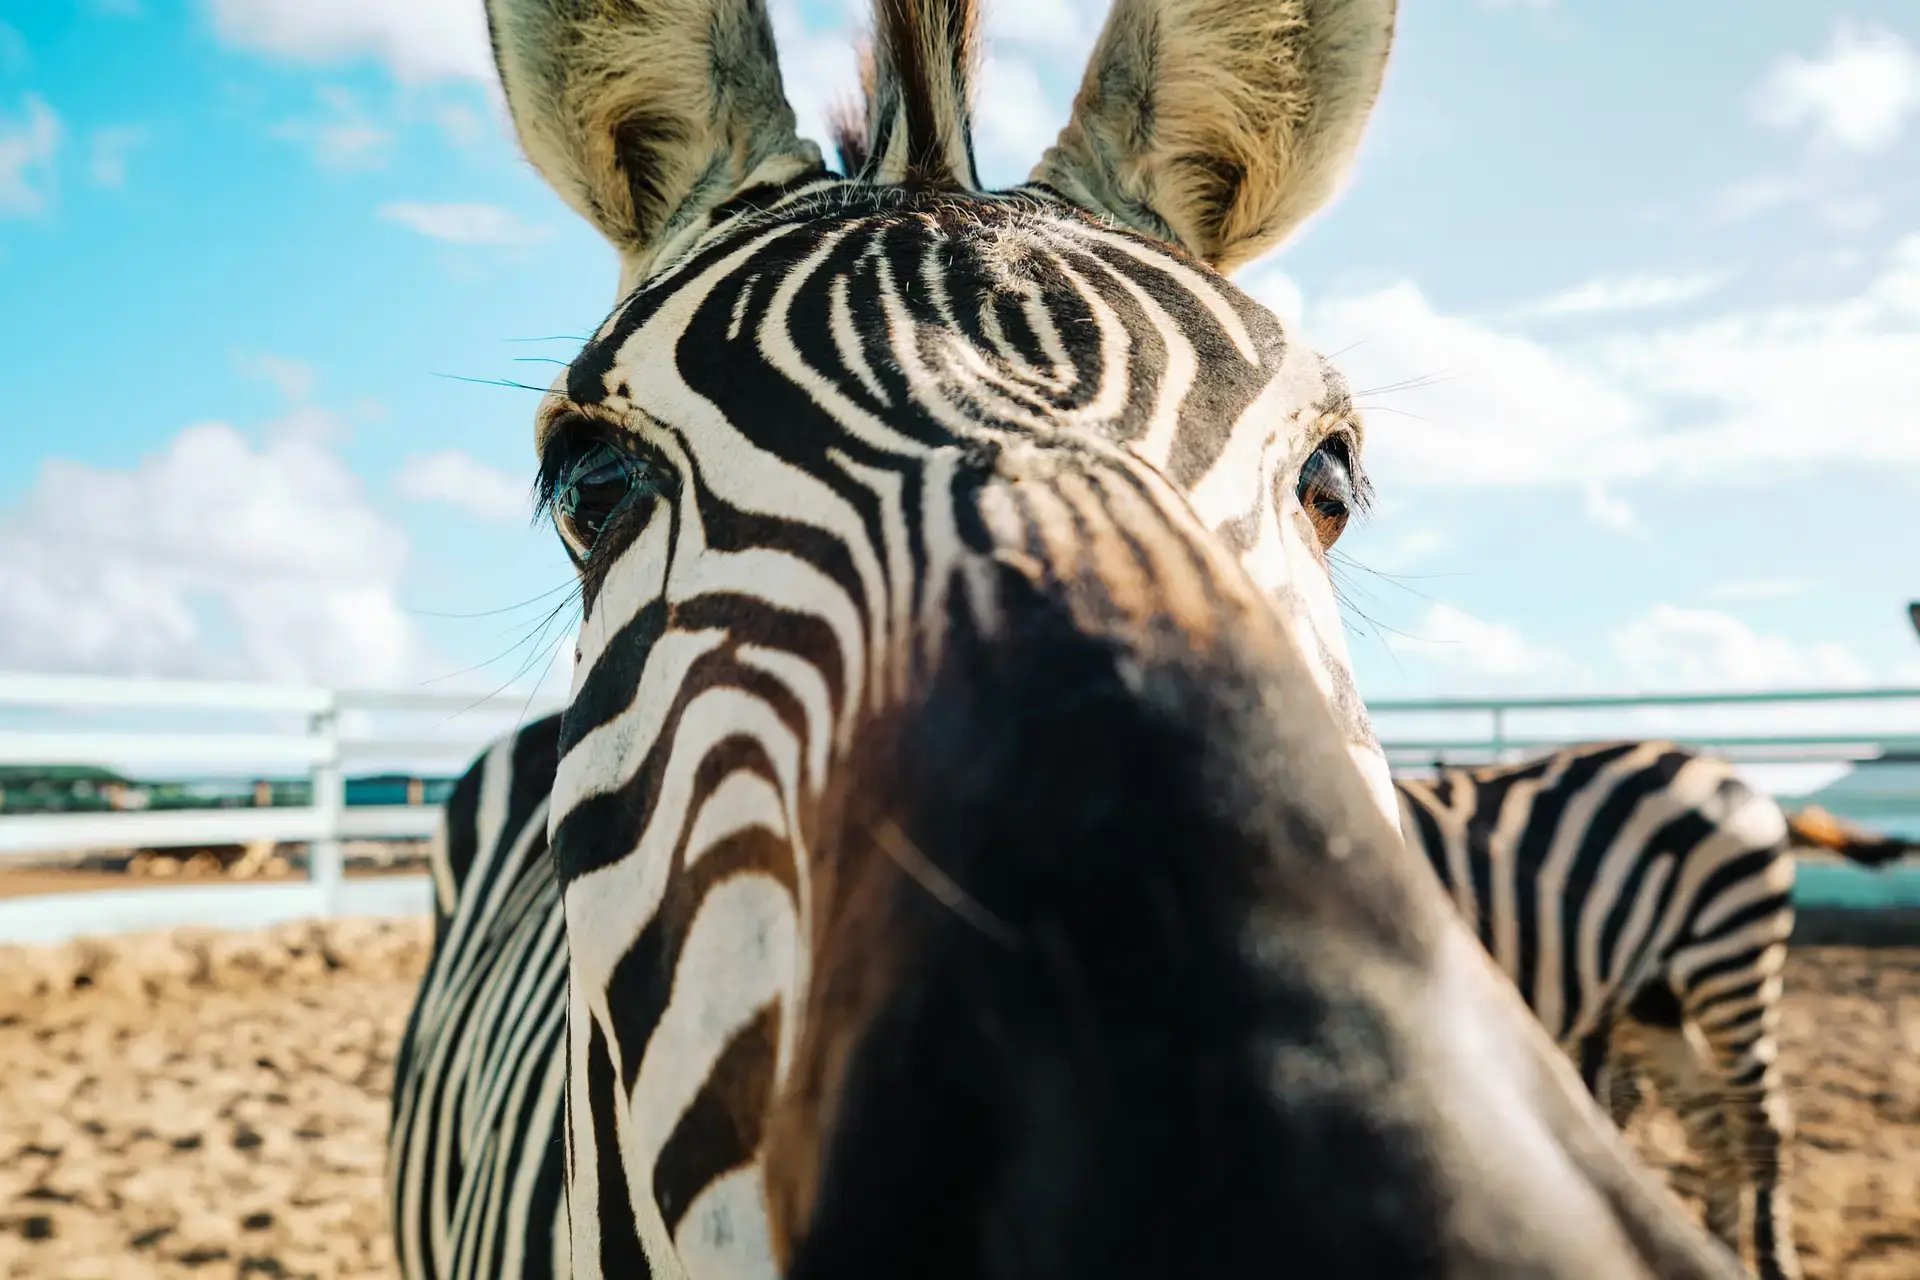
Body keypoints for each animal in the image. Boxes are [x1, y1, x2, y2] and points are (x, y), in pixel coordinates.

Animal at [1395, 739, 1920, 1280]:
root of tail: (1732, 775)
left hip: (1729, 963)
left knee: (1760, 1123)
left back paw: (1773, 1263)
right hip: (1653, 997)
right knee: (1710, 1122)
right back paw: (1719, 1253)